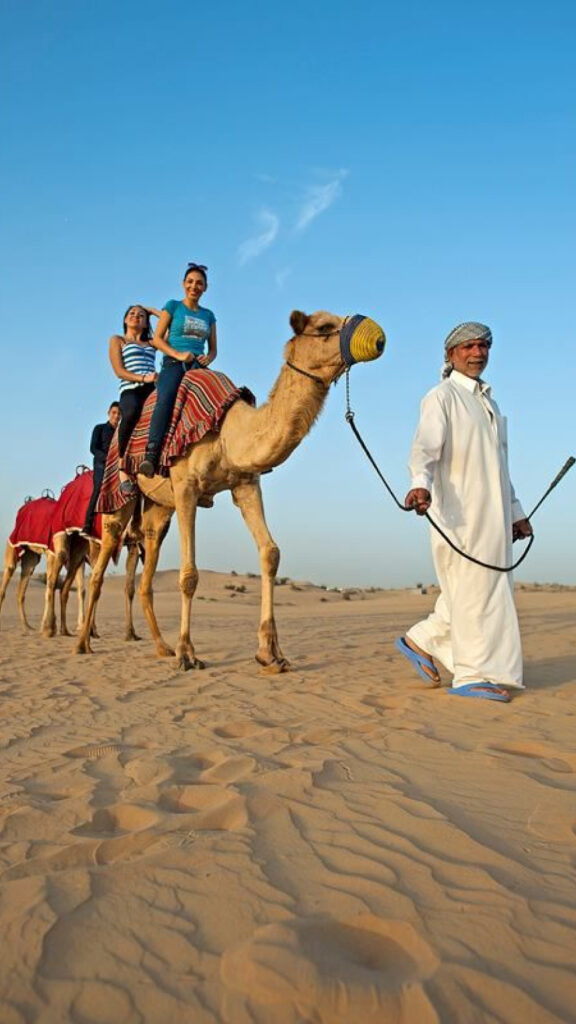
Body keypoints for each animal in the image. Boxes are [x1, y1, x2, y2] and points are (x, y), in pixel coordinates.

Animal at [76, 310, 384, 669]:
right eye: (323, 327)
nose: (379, 338)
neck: (226, 431)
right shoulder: (186, 487)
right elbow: (189, 574)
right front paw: (187, 653)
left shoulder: (245, 484)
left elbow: (270, 553)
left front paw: (270, 653)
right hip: (118, 496)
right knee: (101, 564)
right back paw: (83, 643)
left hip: (158, 507)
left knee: (146, 567)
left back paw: (161, 647)